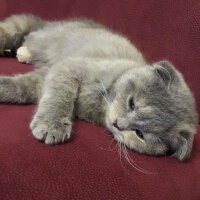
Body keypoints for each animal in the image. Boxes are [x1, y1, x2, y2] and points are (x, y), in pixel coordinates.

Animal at [0, 14, 198, 161]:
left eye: (140, 134)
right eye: (132, 103)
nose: (118, 123)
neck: (102, 103)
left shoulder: (52, 71)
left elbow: (27, 87)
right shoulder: (70, 66)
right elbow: (56, 94)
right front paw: (51, 124)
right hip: (46, 40)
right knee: (29, 34)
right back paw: (21, 51)